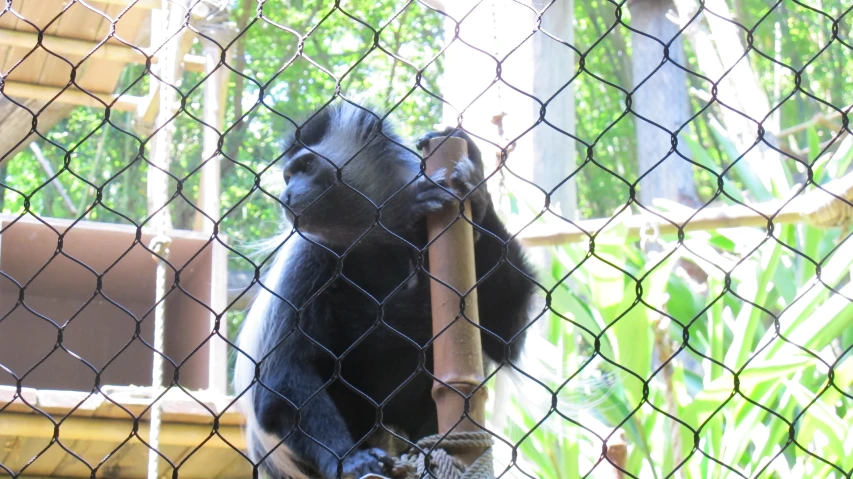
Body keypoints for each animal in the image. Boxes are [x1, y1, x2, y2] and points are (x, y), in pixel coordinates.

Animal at [233, 105, 536, 479]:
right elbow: (284, 374)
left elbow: (505, 333)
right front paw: (351, 460)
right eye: (288, 176)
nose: (287, 195)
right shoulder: (312, 256)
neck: (377, 240)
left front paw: (477, 188)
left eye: (305, 168)